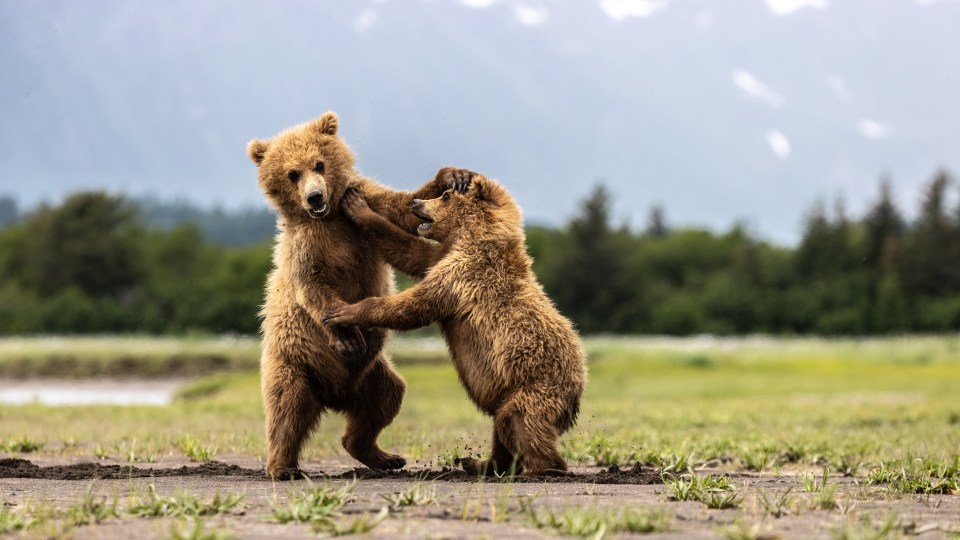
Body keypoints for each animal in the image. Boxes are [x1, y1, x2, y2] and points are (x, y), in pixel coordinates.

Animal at [248, 112, 468, 478]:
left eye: (319, 163)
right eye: (292, 173)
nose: (314, 197)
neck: (329, 218)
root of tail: (334, 396)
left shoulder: (361, 201)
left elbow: (402, 207)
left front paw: (453, 176)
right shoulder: (306, 246)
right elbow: (314, 287)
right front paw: (346, 334)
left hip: (371, 375)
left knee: (384, 401)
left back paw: (383, 456)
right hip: (295, 361)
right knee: (287, 408)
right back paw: (282, 466)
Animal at [326, 171, 588, 474]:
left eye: (445, 196)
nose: (416, 202)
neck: (471, 236)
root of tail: (579, 389)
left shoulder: (462, 275)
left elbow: (415, 305)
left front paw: (343, 311)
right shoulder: (442, 257)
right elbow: (410, 252)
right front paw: (358, 206)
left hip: (536, 386)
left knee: (519, 423)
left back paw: (543, 467)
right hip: (507, 390)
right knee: (502, 426)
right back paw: (480, 463)